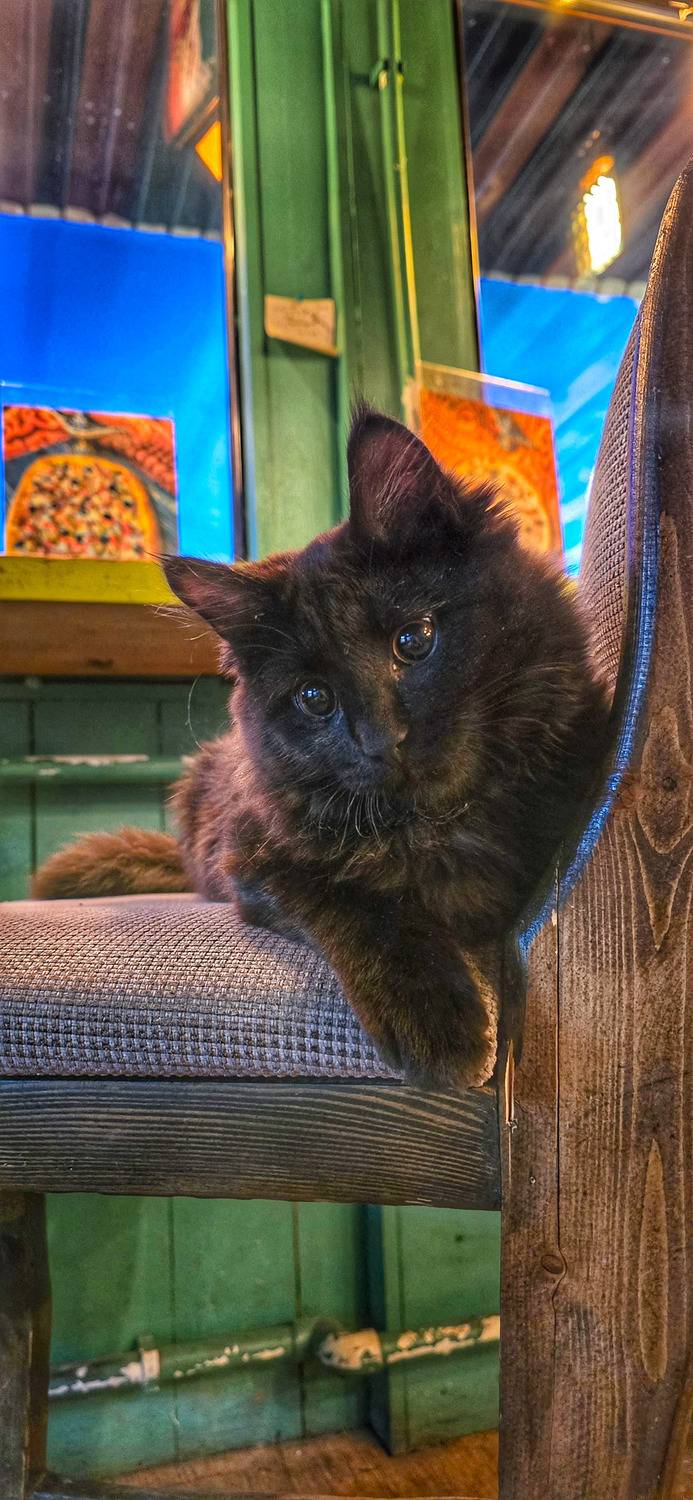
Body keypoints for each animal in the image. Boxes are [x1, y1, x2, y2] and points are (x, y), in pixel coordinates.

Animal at [33, 404, 609, 1088]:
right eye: (315, 699)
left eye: (414, 640)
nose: (383, 741)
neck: (441, 823)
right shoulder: (255, 859)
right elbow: (364, 905)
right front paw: (437, 1020)